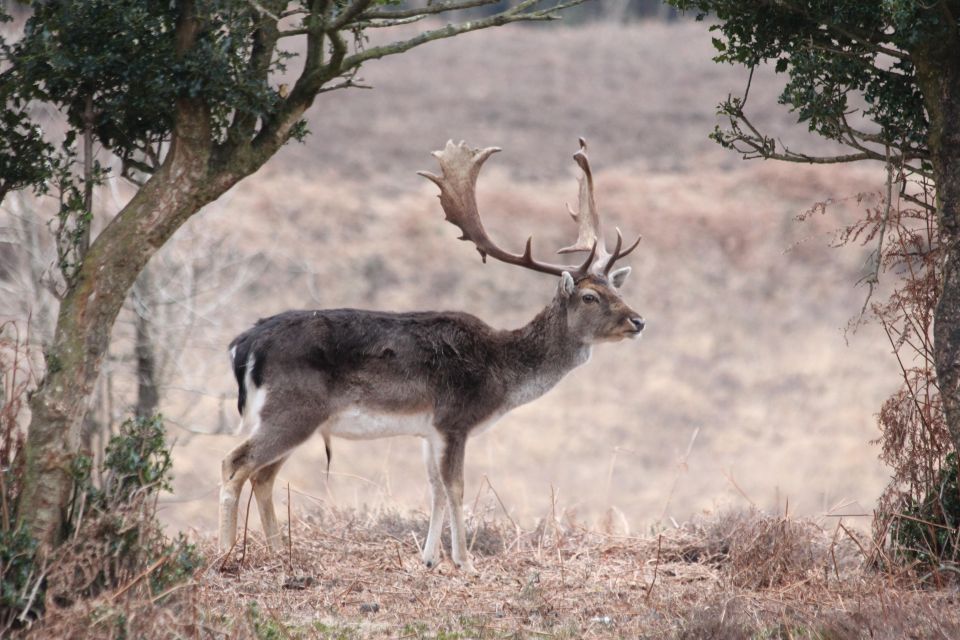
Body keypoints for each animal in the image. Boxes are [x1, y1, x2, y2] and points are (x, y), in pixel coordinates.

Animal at [218, 138, 644, 572]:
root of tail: (244, 344)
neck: (501, 375)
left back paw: (276, 551)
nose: (638, 321)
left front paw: (429, 558)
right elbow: (456, 487)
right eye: (590, 296)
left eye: (618, 289)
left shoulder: (428, 429)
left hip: (293, 416)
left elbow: (434, 488)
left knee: (263, 475)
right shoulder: (455, 418)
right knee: (235, 463)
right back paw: (226, 553)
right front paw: (465, 562)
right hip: (293, 408)